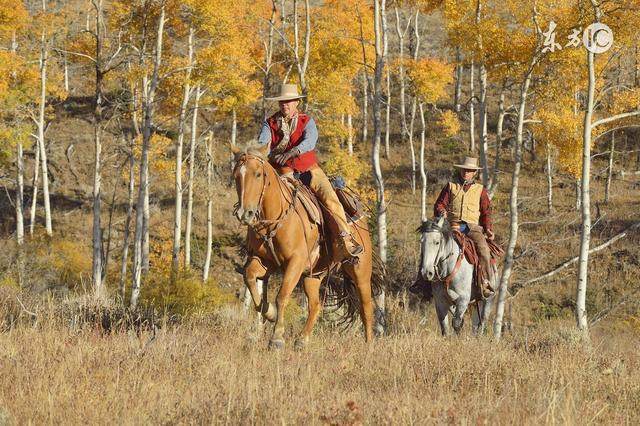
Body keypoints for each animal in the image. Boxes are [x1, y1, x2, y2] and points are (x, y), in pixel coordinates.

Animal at [231, 144, 378, 350]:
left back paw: (369, 345)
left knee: (366, 308)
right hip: (313, 276)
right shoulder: (264, 260)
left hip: (360, 272)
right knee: (315, 305)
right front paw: (270, 313)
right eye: (237, 175)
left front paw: (277, 338)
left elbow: (282, 295)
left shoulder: (295, 262)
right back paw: (302, 340)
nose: (245, 213)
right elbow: (251, 278)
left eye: (258, 174)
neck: (276, 217)